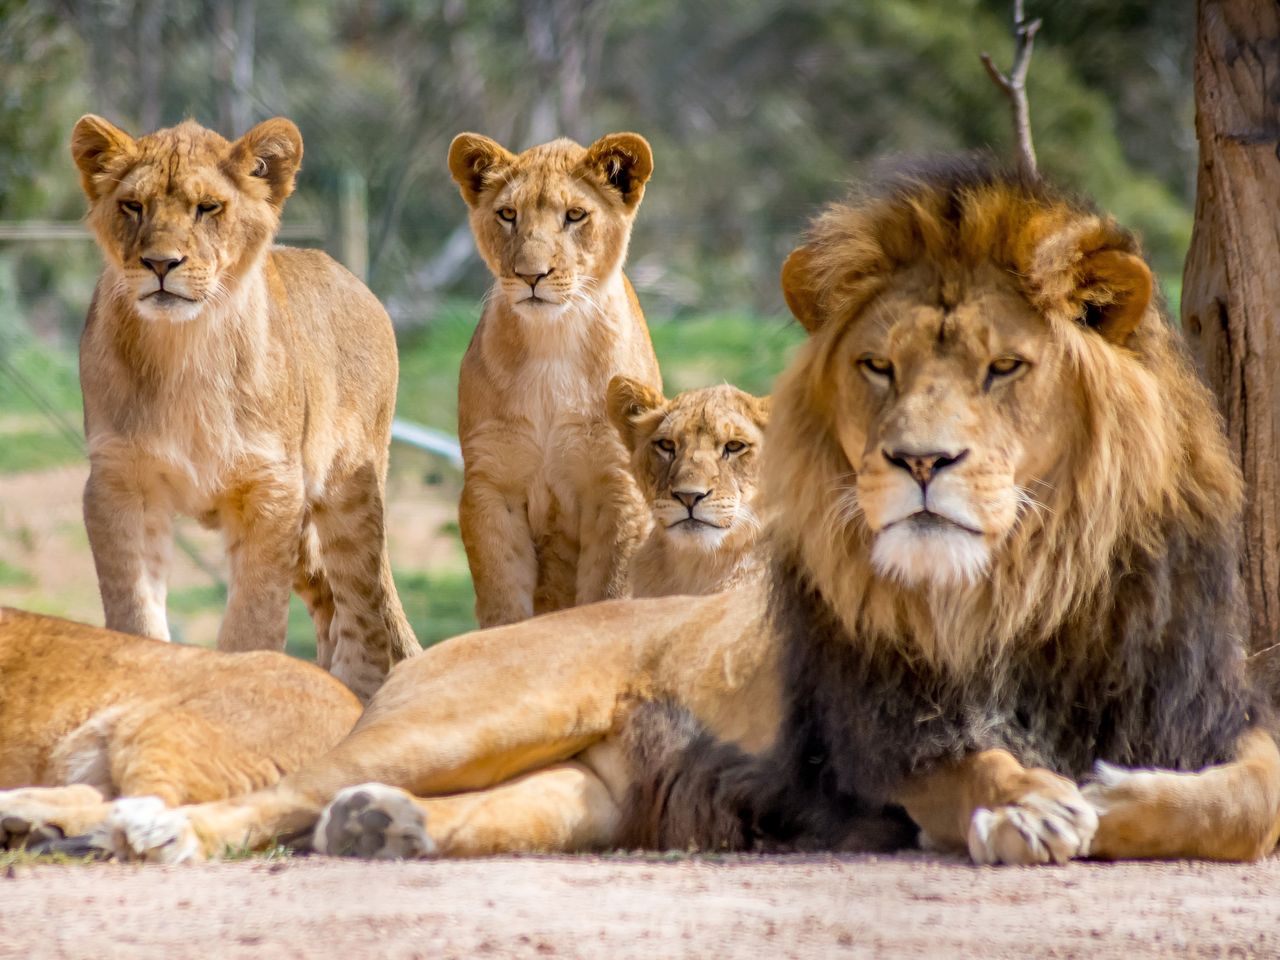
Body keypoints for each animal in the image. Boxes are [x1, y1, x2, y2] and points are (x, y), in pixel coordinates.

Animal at [27, 156, 1280, 865]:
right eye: (875, 368)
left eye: (1003, 369)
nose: (917, 461)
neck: (1029, 590)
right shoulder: (879, 732)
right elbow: (974, 762)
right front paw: (1035, 807)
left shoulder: (1217, 721)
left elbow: (1243, 805)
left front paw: (1113, 797)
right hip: (472, 713)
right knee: (278, 791)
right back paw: (133, 829)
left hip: (578, 791)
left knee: (412, 811)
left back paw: (381, 826)